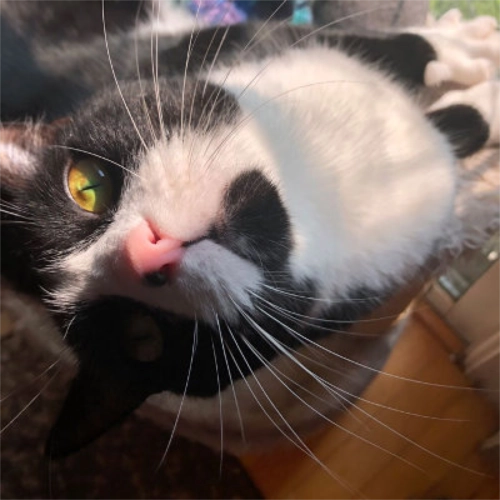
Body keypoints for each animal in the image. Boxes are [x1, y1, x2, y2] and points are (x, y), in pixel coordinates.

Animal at [0, 0, 498, 460]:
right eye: (143, 337)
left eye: (86, 187)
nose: (147, 252)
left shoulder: (273, 42)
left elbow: (407, 48)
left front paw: (473, 50)